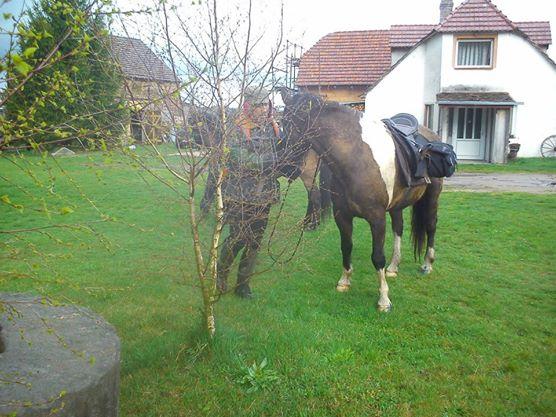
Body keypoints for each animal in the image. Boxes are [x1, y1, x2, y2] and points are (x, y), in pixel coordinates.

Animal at [280, 89, 446, 310]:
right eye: (283, 121)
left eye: (293, 123)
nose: (284, 167)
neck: (356, 159)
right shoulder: (342, 216)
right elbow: (346, 246)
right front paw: (344, 281)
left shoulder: (377, 219)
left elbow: (377, 257)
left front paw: (384, 299)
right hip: (397, 206)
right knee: (399, 228)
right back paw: (394, 266)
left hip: (432, 197)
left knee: (430, 225)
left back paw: (427, 264)